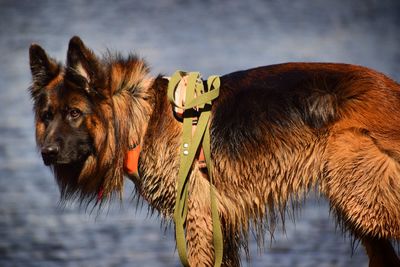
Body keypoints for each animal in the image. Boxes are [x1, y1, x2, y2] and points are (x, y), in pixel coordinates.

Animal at [28, 36, 400, 267]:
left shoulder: (198, 220)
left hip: (364, 198)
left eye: (74, 113)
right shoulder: (219, 226)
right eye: (47, 116)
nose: (47, 152)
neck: (143, 119)